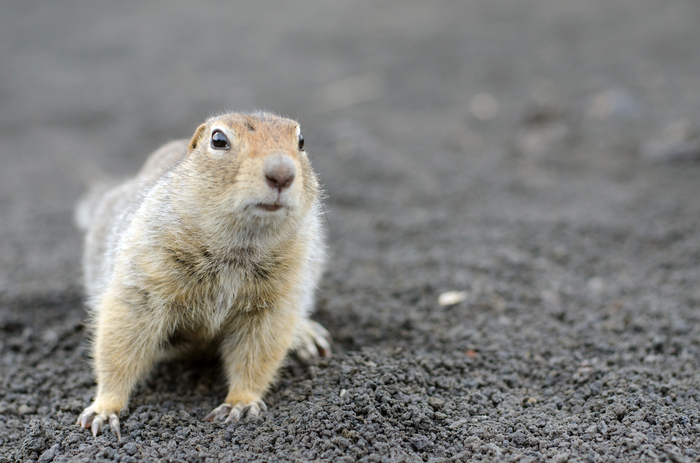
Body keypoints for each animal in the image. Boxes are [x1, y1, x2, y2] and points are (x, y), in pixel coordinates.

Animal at [75, 111, 332, 438]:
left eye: (301, 141)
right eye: (218, 140)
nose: (281, 173)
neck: (238, 248)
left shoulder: (278, 295)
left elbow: (260, 350)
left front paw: (240, 403)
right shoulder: (145, 270)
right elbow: (121, 337)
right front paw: (104, 408)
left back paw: (305, 333)